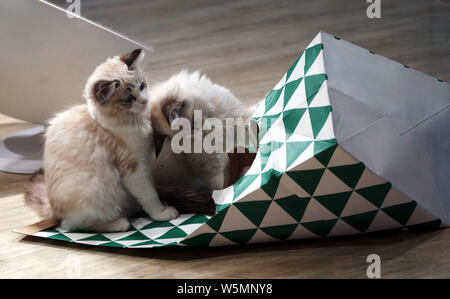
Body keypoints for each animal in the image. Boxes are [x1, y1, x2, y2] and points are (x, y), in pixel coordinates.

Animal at [24, 49, 178, 233]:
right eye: (128, 99)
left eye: (142, 86)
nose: (144, 101)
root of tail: (53, 209)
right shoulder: (134, 168)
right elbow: (149, 194)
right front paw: (161, 212)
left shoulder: (146, 161)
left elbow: (151, 187)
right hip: (95, 191)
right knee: (74, 225)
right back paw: (119, 223)